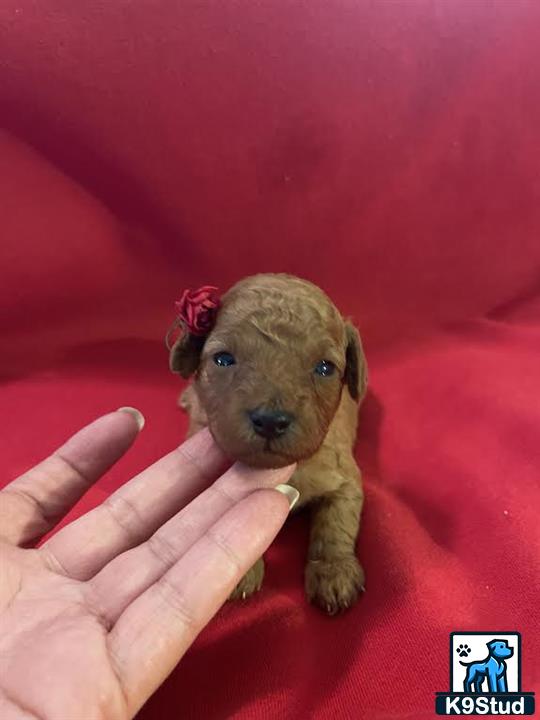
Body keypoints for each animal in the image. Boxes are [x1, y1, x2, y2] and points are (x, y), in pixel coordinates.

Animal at [170, 272, 368, 616]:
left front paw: (334, 571)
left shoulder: (344, 476)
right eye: (224, 359)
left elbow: (337, 523)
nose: (271, 421)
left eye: (325, 368)